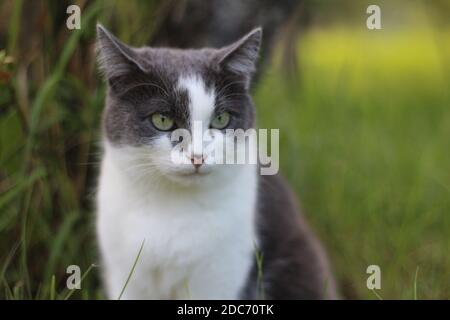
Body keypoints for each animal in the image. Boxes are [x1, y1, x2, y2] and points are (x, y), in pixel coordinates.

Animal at [96, 23, 338, 300]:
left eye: (221, 119)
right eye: (162, 120)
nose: (197, 156)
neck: (171, 205)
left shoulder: (220, 274)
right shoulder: (124, 272)